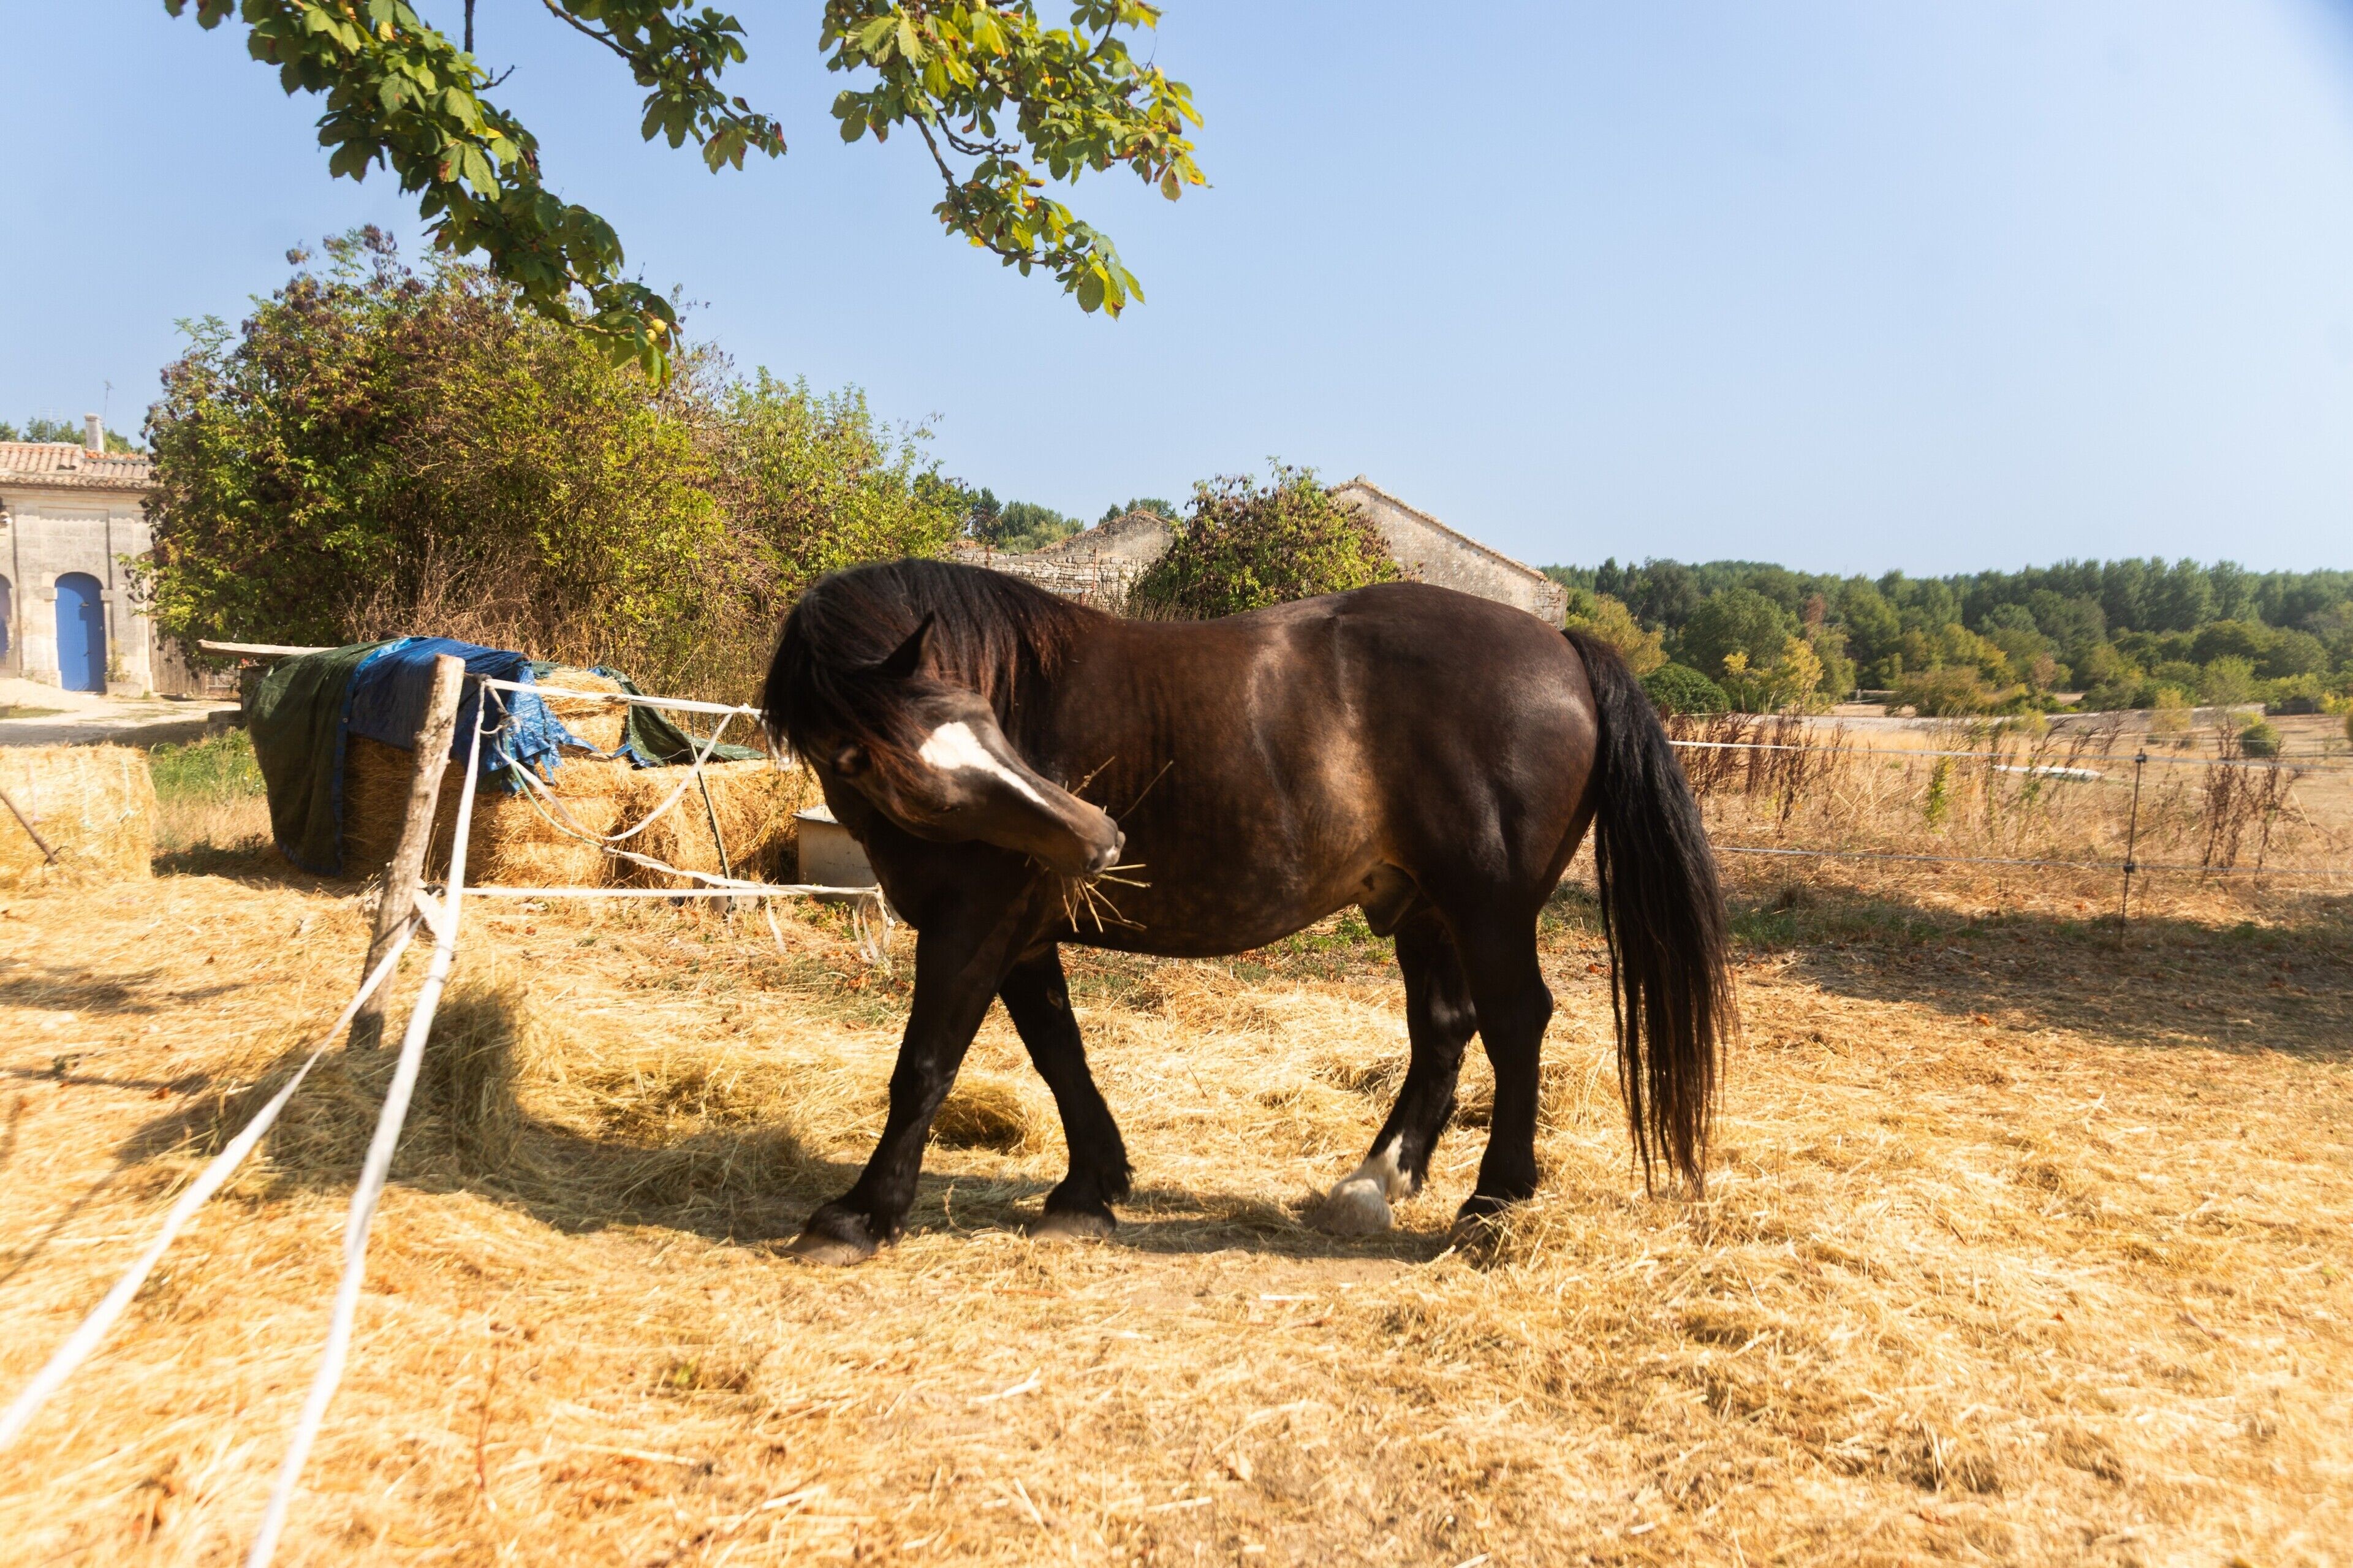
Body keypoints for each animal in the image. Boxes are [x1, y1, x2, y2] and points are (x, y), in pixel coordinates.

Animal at [762, 558, 1732, 1264]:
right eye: (871, 754)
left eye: (982, 719)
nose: (1098, 838)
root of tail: (1563, 646)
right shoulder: (1026, 935)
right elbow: (1059, 1053)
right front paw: (1088, 1190)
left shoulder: (973, 923)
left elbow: (925, 1065)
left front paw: (859, 1215)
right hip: (1423, 907)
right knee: (1445, 1027)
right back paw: (1376, 1182)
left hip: (1487, 909)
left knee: (1514, 1022)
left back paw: (1491, 1202)